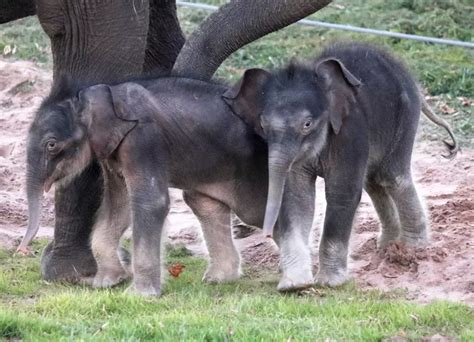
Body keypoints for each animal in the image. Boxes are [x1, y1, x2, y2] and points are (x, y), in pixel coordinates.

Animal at [224, 41, 458, 288]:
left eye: (307, 124)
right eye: (263, 125)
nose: (266, 234)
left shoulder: (349, 131)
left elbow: (341, 192)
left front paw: (328, 283)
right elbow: (297, 197)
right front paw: (294, 284)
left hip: (404, 115)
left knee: (392, 177)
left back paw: (414, 249)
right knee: (373, 181)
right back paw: (387, 246)